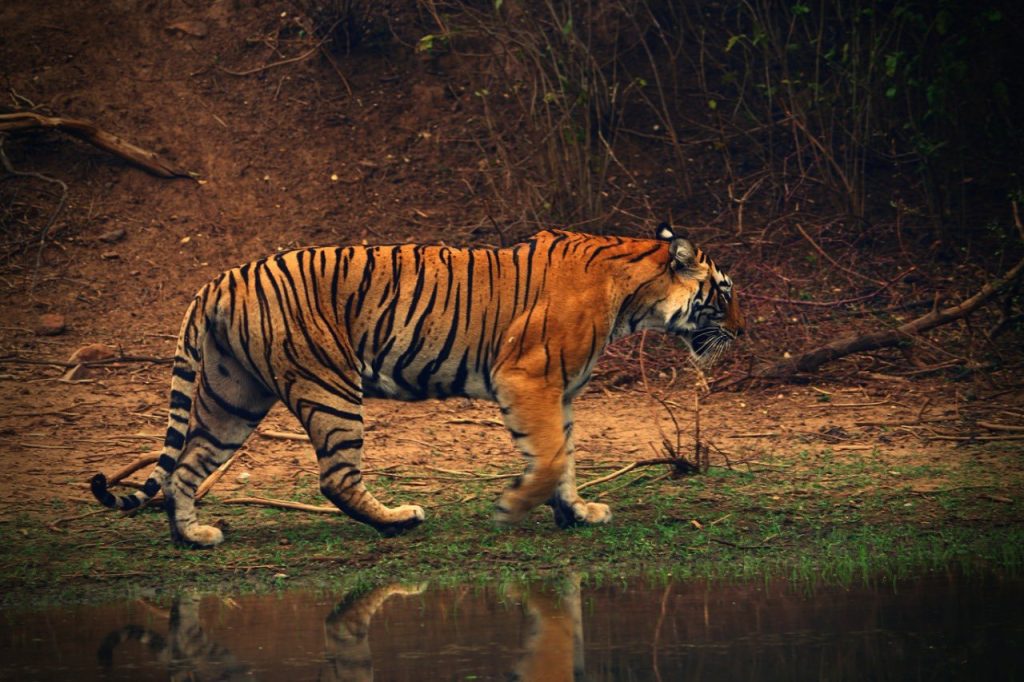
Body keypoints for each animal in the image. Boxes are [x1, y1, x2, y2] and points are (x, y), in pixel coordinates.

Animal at [91, 224, 743, 547]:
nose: (741, 332)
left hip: (234, 395)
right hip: (329, 386)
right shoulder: (527, 376)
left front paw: (577, 512)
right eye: (725, 292)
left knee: (184, 468)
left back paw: (194, 535)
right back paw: (398, 520)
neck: (636, 296)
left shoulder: (558, 392)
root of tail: (219, 280)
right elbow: (552, 456)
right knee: (335, 478)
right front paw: (514, 507)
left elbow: (564, 457)